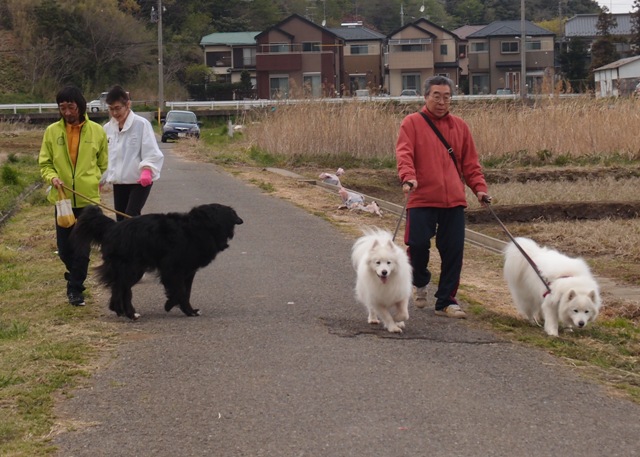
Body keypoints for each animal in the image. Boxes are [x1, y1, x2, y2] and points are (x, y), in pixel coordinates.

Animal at [72, 205, 242, 318]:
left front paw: (189, 310)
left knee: (118, 288)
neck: (197, 228)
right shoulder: (172, 268)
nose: (240, 220)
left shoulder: (188, 271)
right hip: (133, 268)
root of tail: (112, 227)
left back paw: (120, 311)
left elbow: (186, 292)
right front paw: (172, 306)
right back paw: (131, 314)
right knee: (124, 289)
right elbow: (180, 290)